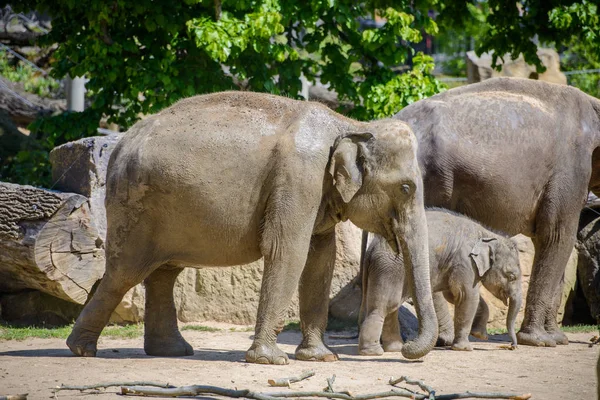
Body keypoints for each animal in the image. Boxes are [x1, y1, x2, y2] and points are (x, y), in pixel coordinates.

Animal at [68, 90, 438, 366]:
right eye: (407, 188)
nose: (406, 352)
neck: (350, 124)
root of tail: (119, 144)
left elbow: (321, 259)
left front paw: (320, 358)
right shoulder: (299, 177)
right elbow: (288, 251)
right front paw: (271, 360)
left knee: (164, 273)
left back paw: (171, 352)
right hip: (134, 207)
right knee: (125, 272)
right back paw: (82, 349)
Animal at [358, 208, 524, 354]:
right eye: (511, 276)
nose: (512, 346)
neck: (486, 233)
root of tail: (370, 250)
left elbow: (454, 295)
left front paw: (480, 335)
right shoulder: (464, 260)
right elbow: (467, 295)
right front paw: (465, 348)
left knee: (392, 307)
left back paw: (395, 349)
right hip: (390, 268)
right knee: (385, 306)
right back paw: (372, 352)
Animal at [394, 77, 600, 346]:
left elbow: (549, 242)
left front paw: (557, 338)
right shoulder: (571, 169)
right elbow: (557, 237)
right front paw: (539, 341)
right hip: (424, 180)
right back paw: (446, 338)